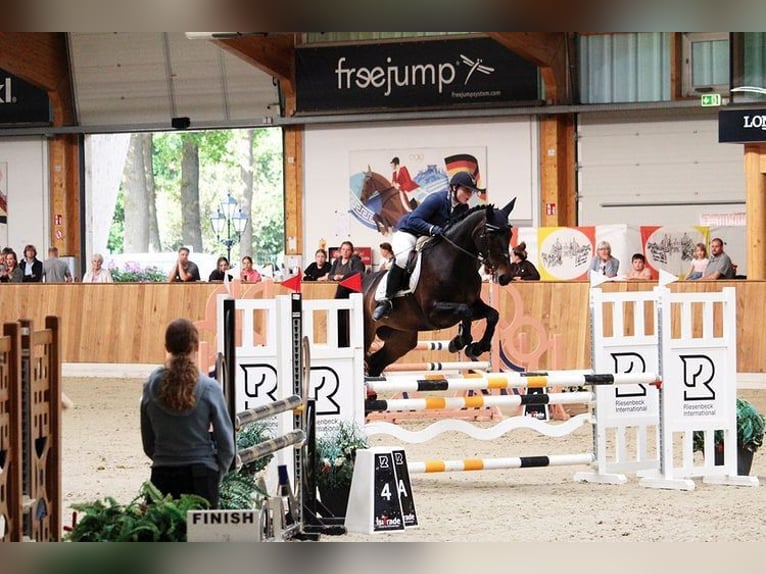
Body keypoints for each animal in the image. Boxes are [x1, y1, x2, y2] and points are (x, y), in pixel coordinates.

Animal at [364, 200, 520, 380]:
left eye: (509, 235)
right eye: (490, 236)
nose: (505, 276)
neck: (456, 263)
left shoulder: (474, 304)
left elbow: (493, 315)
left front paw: (477, 347)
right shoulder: (433, 311)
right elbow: (465, 311)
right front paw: (459, 342)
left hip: (401, 337)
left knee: (376, 363)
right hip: (368, 332)